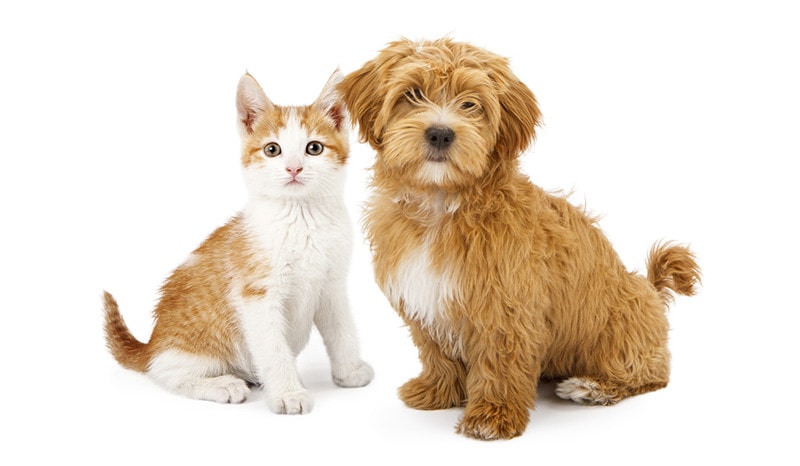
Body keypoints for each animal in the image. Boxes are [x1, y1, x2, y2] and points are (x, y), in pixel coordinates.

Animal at [102, 70, 372, 416]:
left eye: (314, 148)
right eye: (272, 150)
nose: (294, 168)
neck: (301, 217)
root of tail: (152, 344)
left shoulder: (332, 286)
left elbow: (343, 331)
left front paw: (349, 372)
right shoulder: (257, 295)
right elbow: (274, 349)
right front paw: (288, 394)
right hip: (194, 350)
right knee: (166, 373)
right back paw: (222, 385)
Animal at [340, 37, 704, 440]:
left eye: (471, 103)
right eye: (412, 93)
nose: (440, 133)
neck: (441, 204)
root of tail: (651, 290)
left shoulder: (506, 307)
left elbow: (500, 363)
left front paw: (492, 416)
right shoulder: (424, 300)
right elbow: (436, 351)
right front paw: (438, 390)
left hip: (620, 326)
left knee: (649, 374)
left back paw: (591, 387)